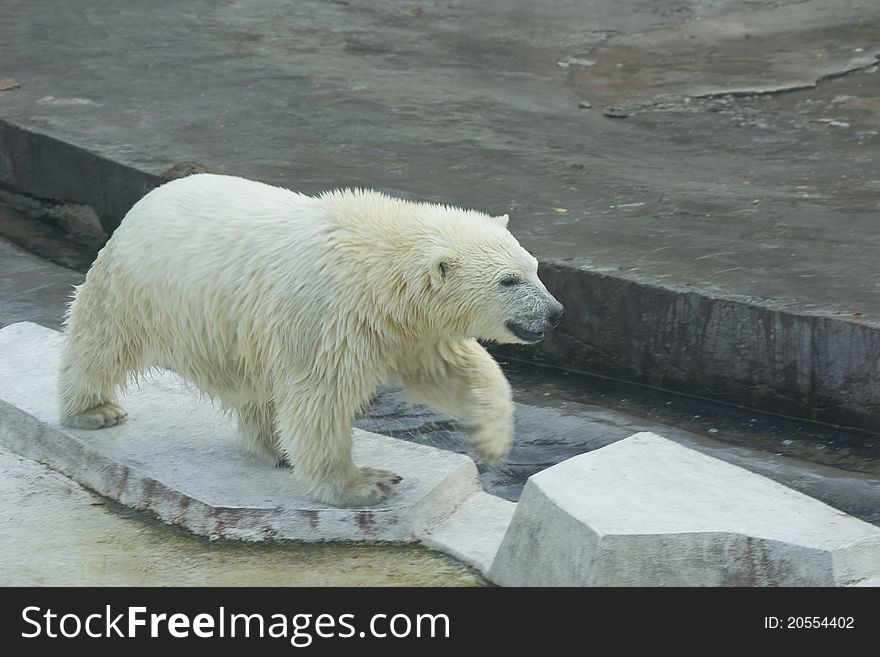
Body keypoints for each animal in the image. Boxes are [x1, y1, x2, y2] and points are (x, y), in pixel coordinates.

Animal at [58, 172, 564, 504]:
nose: (555, 313)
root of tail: (147, 198)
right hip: (138, 286)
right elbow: (321, 397)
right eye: (509, 281)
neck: (380, 267)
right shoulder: (329, 314)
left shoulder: (404, 326)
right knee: (101, 341)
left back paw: (276, 447)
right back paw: (93, 409)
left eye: (535, 268)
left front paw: (491, 437)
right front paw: (364, 483)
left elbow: (449, 370)